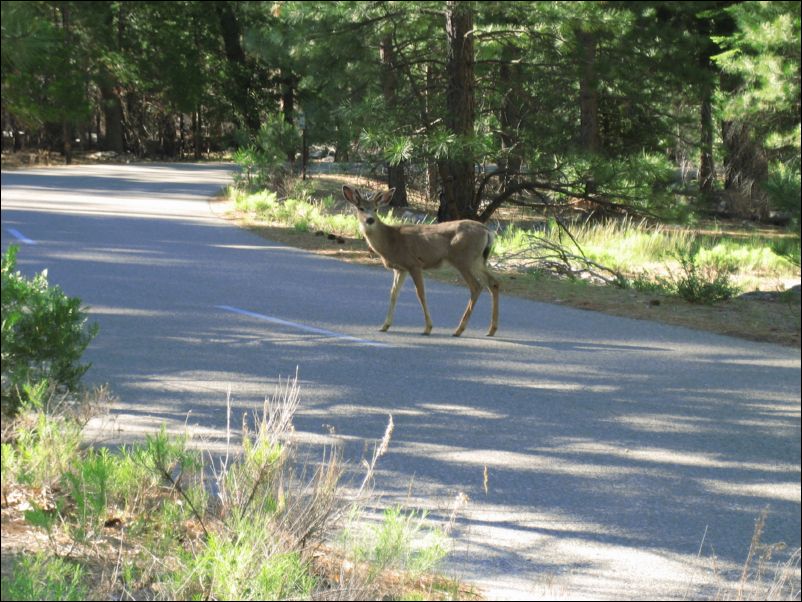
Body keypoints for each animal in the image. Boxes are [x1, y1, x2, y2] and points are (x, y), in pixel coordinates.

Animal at [340, 185, 496, 336]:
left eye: (375, 209)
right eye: (361, 208)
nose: (370, 220)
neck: (390, 241)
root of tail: (487, 231)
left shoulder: (413, 263)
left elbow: (420, 294)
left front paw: (428, 328)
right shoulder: (400, 268)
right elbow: (393, 293)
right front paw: (385, 326)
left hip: (463, 259)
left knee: (476, 286)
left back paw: (459, 330)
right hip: (477, 260)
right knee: (493, 283)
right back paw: (491, 330)